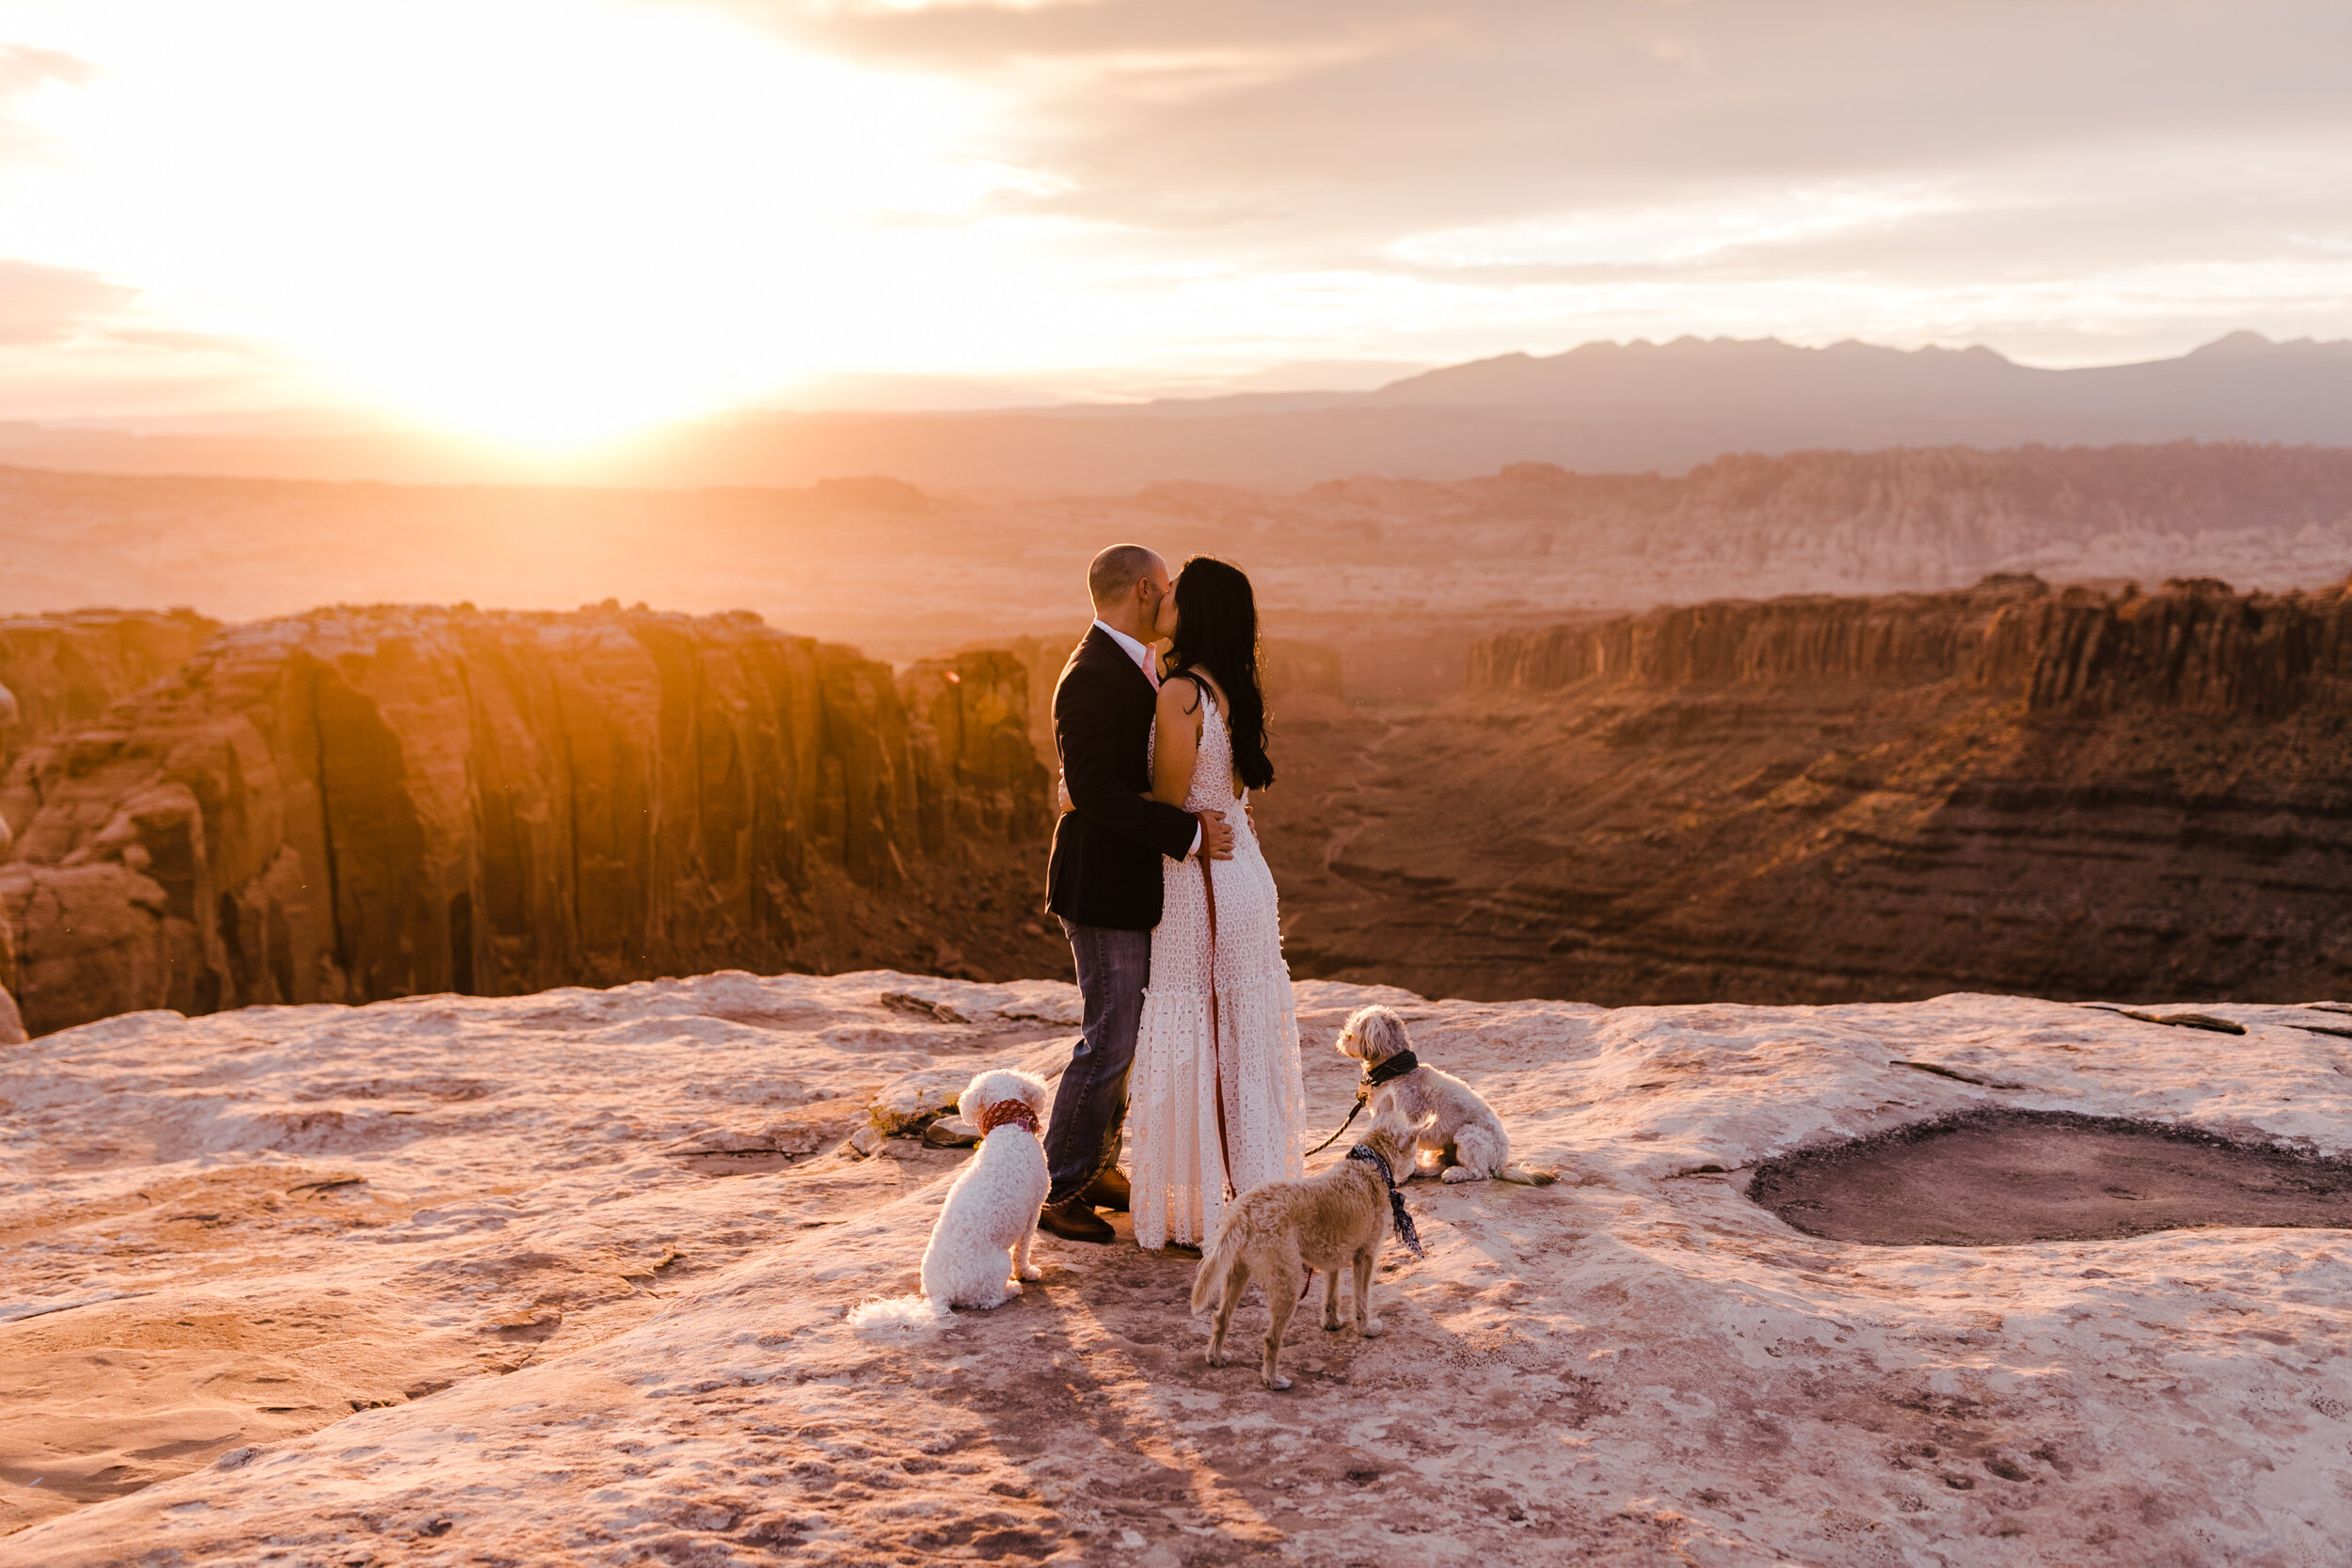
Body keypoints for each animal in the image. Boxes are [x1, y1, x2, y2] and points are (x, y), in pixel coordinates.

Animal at [847, 1062, 1049, 1335]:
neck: (1008, 1128)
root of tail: (941, 1295)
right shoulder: (1033, 1211)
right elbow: (1023, 1251)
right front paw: (1027, 1273)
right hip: (997, 1266)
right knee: (988, 1300)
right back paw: (1012, 1289)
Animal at [1336, 1010, 1552, 1184]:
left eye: (1351, 1034)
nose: (1341, 1038)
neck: (1396, 1070)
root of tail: (1501, 1163)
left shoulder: (1404, 1120)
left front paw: (1397, 1178)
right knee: (1440, 1164)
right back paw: (1423, 1170)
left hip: (1469, 1134)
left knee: (1480, 1172)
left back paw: (1455, 1174)